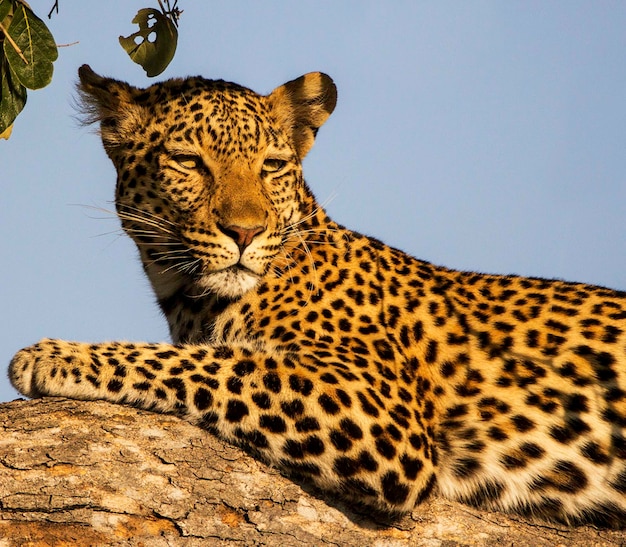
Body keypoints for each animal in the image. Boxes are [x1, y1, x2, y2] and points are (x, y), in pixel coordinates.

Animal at [8, 65, 624, 532]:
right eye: (188, 162)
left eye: (272, 166)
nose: (245, 232)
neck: (186, 295)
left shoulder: (377, 405)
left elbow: (209, 363)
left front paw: (53, 355)